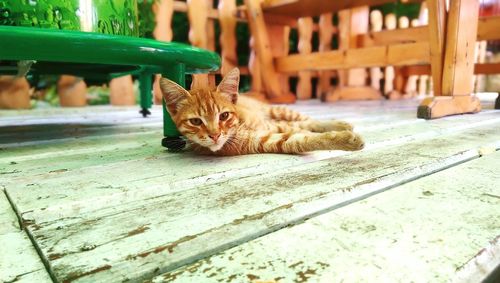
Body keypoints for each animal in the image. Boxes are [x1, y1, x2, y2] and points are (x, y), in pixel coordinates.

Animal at [160, 69, 364, 158]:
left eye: (224, 116)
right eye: (195, 121)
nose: (215, 135)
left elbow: (305, 130)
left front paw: (344, 135)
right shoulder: (263, 140)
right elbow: (301, 139)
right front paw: (346, 139)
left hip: (278, 112)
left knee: (306, 121)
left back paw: (340, 123)